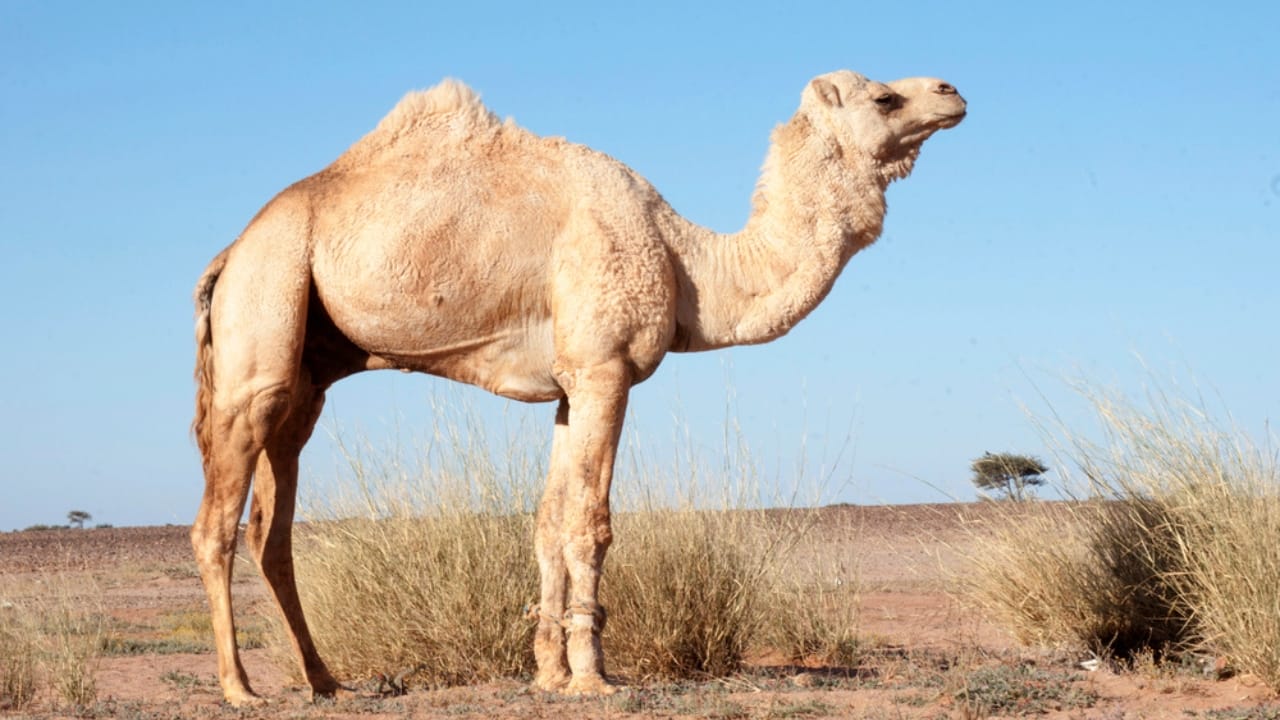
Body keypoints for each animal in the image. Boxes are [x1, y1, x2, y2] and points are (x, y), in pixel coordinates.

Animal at [191, 70, 965, 705]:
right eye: (885, 98)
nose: (952, 91)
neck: (684, 260)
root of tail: (232, 251)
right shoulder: (605, 367)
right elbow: (590, 522)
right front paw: (595, 677)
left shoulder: (570, 385)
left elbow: (549, 521)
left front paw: (550, 672)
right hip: (264, 313)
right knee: (216, 524)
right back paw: (240, 689)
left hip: (307, 373)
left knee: (271, 527)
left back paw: (325, 681)